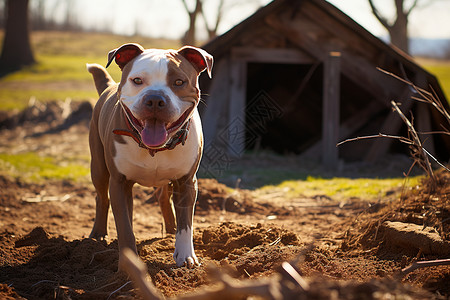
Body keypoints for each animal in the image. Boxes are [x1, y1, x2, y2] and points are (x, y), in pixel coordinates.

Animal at [86, 42, 213, 270]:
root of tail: (110, 86)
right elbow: (125, 227)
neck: (155, 149)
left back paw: (170, 229)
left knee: (163, 198)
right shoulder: (119, 183)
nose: (155, 99)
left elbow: (186, 223)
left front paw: (185, 256)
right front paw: (128, 266)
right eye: (137, 80)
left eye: (179, 82)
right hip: (99, 168)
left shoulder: (187, 182)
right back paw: (98, 234)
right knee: (102, 197)